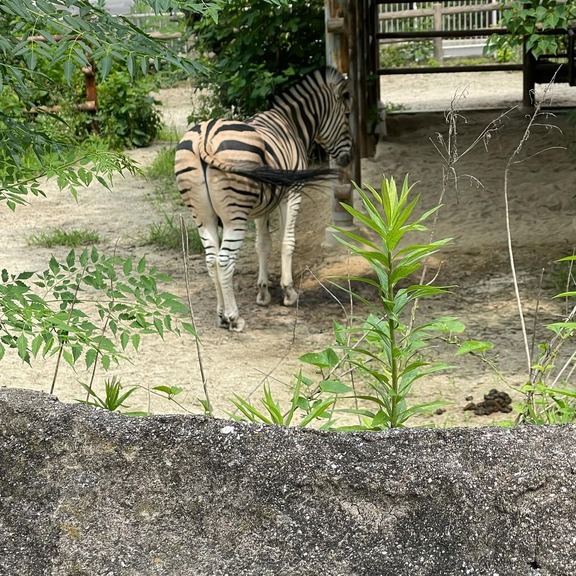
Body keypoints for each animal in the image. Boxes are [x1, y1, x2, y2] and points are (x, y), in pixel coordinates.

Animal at [173, 66, 352, 332]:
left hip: (203, 215)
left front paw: (263, 292)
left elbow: (263, 245)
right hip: (235, 215)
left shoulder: (262, 206)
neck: (292, 125)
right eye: (347, 114)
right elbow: (287, 241)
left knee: (211, 259)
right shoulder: (292, 193)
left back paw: (220, 314)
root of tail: (205, 136)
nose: (348, 159)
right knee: (224, 261)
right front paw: (288, 292)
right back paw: (234, 317)